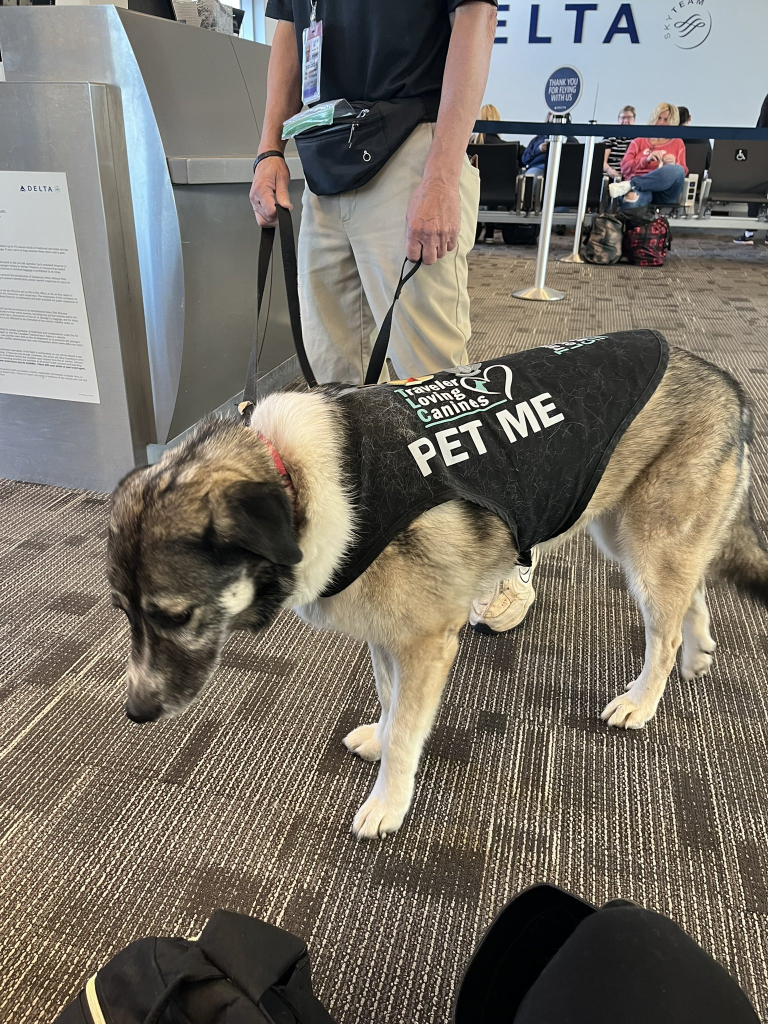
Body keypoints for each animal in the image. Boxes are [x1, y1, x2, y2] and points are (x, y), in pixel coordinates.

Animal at [108, 335, 768, 839]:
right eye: (124, 613)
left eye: (174, 616)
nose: (136, 713)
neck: (295, 478)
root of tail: (727, 384)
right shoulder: (387, 635)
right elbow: (389, 701)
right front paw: (380, 736)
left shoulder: (425, 643)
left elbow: (408, 728)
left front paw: (388, 800)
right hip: (625, 532)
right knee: (690, 592)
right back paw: (697, 652)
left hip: (647, 543)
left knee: (662, 627)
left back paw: (644, 698)